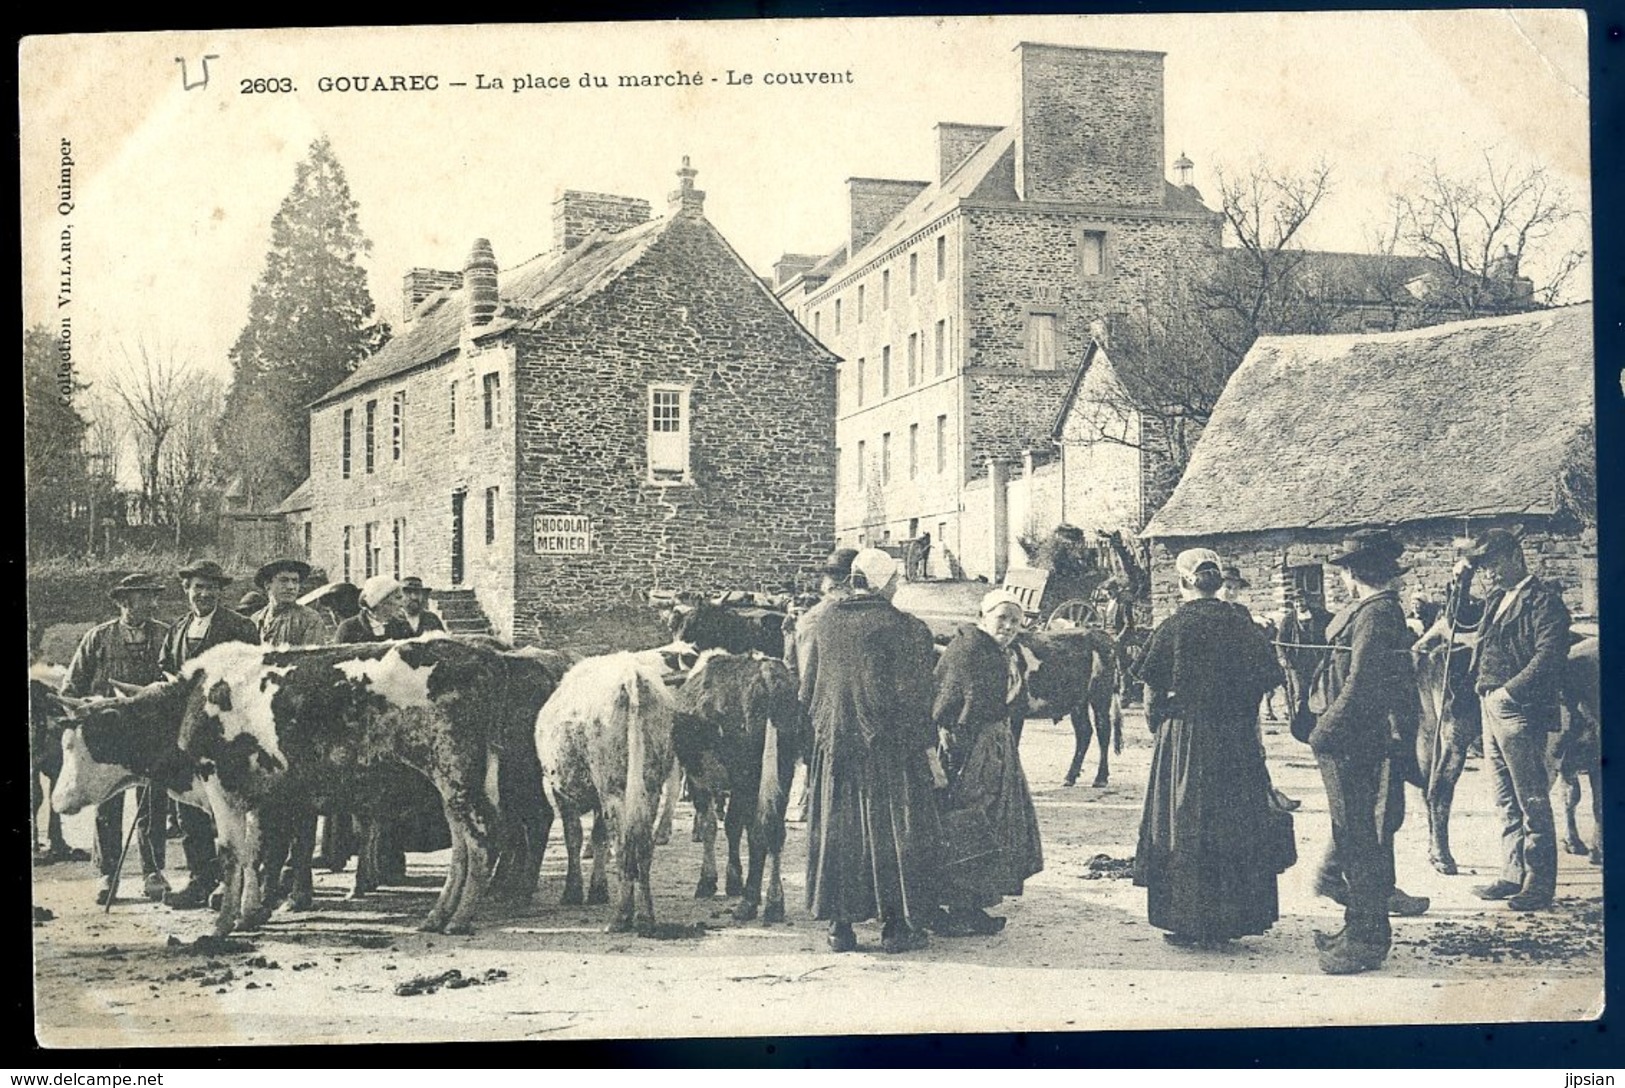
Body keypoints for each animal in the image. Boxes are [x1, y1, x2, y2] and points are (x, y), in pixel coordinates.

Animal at [52, 639, 507, 935]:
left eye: (76, 743)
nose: (56, 802)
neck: (190, 703)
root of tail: (479, 655)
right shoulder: (254, 795)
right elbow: (254, 852)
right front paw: (250, 912)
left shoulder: (220, 785)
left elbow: (231, 854)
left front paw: (222, 925)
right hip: (460, 781)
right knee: (462, 846)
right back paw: (439, 914)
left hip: (454, 772)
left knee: (481, 840)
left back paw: (459, 919)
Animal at [536, 652, 682, 935]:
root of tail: (631, 676)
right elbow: (598, 837)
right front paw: (598, 890)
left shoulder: (562, 792)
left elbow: (575, 837)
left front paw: (573, 892)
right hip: (648, 787)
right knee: (642, 846)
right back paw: (645, 917)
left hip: (613, 788)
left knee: (624, 846)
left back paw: (620, 917)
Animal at [666, 652, 806, 922]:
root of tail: (768, 675)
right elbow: (733, 825)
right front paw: (733, 881)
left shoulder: (700, 779)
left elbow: (711, 825)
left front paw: (709, 881)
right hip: (782, 773)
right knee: (774, 830)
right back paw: (774, 903)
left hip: (747, 776)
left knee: (758, 833)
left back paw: (749, 903)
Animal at [1014, 630, 1118, 792]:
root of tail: (1100, 633)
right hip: (1078, 703)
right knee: (1084, 732)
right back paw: (1070, 777)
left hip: (1100, 695)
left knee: (1103, 730)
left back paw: (1100, 779)